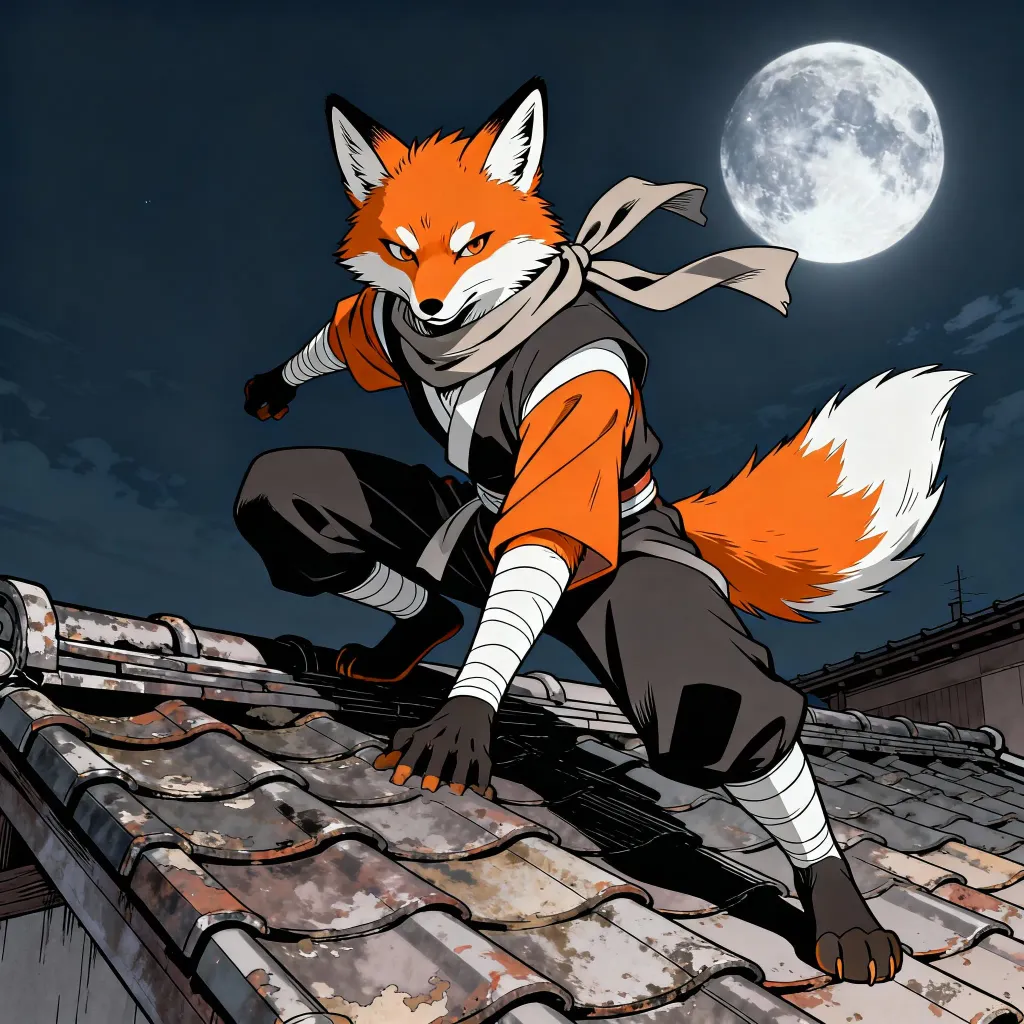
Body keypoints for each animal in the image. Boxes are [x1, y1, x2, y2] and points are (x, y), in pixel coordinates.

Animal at [237, 76, 967, 987]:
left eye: (475, 243)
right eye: (403, 251)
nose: (433, 304)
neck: (480, 335)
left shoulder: (581, 391)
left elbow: (551, 536)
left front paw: (465, 711)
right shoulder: (393, 327)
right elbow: (354, 328)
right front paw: (277, 381)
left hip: (627, 582)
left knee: (713, 704)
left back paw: (838, 904)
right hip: (459, 537)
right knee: (293, 502)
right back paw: (418, 628)